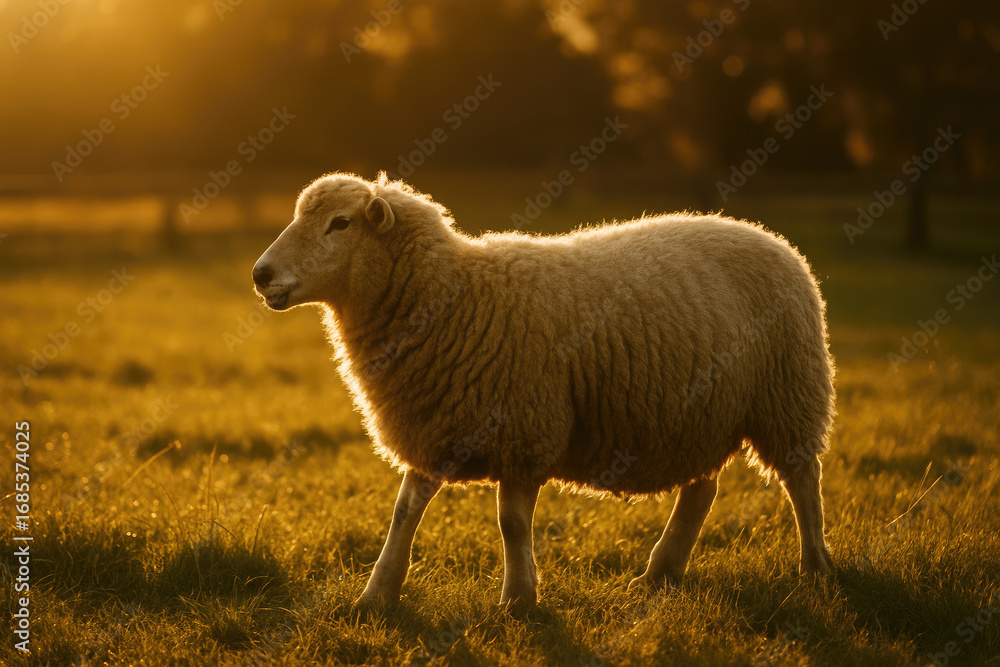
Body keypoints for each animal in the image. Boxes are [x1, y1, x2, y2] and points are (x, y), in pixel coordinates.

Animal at [251, 172, 836, 611]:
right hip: (698, 413)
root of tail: (768, 236)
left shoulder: (523, 428)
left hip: (789, 394)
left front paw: (519, 600)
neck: (453, 294)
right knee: (701, 492)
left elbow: (511, 523)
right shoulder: (435, 422)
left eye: (340, 223)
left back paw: (815, 567)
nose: (261, 274)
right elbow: (404, 511)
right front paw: (377, 595)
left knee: (803, 480)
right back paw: (660, 574)